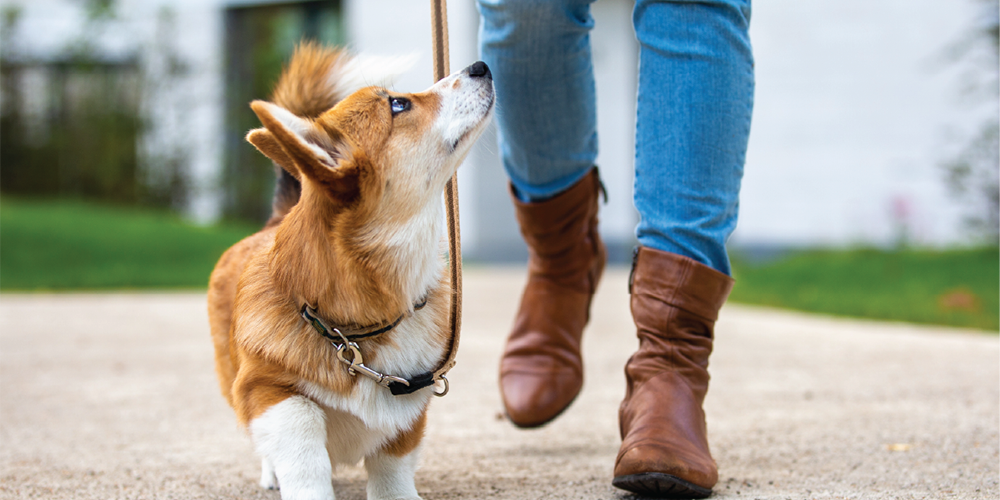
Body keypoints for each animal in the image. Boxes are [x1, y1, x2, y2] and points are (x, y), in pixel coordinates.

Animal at [208, 43, 496, 500]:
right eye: (398, 104)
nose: (481, 66)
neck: (356, 329)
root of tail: (275, 218)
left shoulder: (409, 404)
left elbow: (392, 467)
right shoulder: (265, 390)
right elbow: (303, 441)